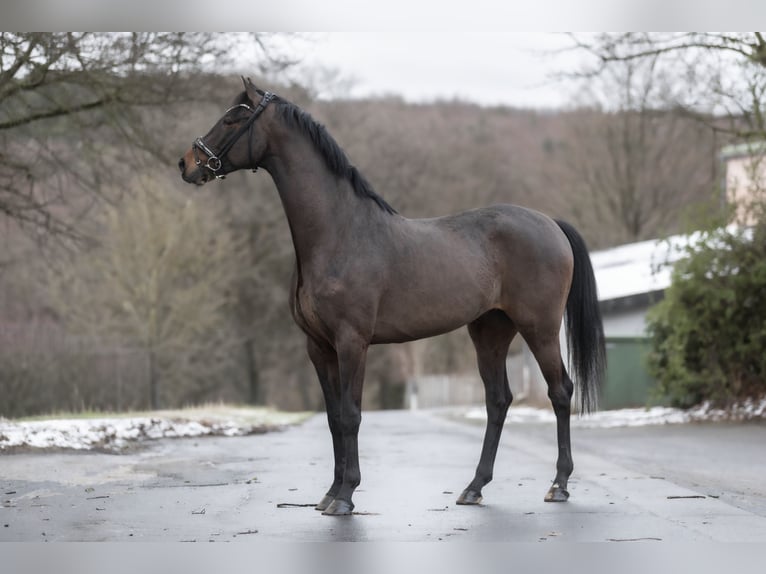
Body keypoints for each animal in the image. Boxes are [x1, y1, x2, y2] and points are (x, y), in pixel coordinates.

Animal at [179, 78, 606, 516]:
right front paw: (330, 493)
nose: (187, 163)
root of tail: (550, 223)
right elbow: (333, 418)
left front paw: (345, 496)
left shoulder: (353, 342)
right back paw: (474, 487)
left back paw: (559, 485)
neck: (339, 233)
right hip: (489, 332)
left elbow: (351, 415)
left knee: (560, 392)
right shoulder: (319, 347)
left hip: (539, 328)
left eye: (233, 119)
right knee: (498, 400)